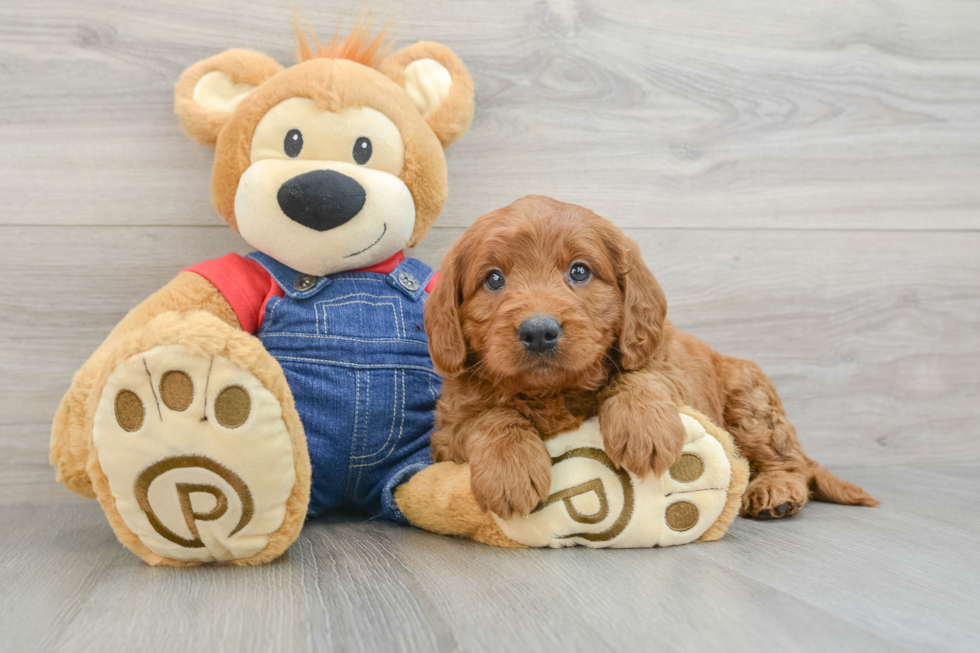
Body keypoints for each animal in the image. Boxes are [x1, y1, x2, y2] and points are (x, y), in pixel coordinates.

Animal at [424, 195, 880, 520]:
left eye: (579, 271)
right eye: (493, 279)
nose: (538, 331)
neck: (553, 393)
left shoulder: (666, 367)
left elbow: (639, 375)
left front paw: (644, 427)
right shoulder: (447, 430)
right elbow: (490, 417)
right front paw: (510, 471)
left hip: (750, 405)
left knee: (792, 462)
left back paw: (776, 492)